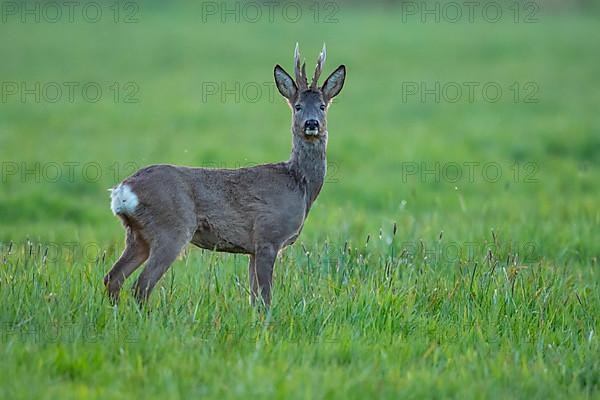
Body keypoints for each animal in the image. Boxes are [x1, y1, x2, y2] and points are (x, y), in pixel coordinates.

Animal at [103, 44, 346, 306]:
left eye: (322, 106)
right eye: (298, 106)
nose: (311, 124)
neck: (299, 184)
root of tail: (123, 191)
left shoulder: (253, 249)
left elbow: (254, 299)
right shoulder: (268, 237)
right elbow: (265, 298)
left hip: (137, 235)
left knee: (112, 278)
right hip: (171, 228)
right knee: (141, 286)